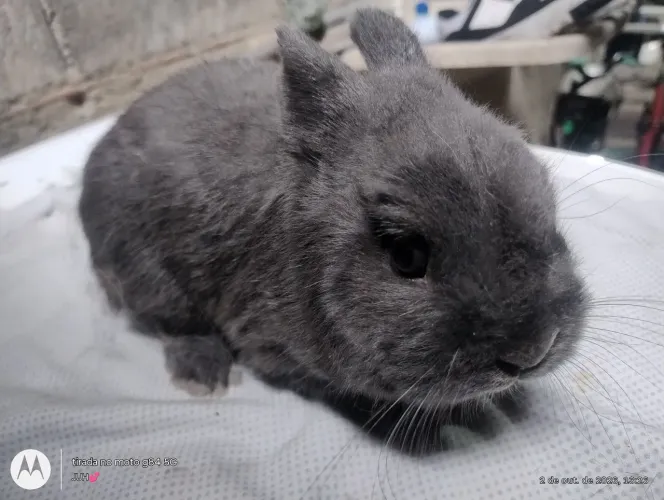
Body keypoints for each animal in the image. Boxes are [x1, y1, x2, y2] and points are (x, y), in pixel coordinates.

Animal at [78, 7, 589, 451]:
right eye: (406, 256)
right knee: (171, 325)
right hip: (152, 277)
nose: (532, 350)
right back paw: (203, 374)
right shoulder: (264, 342)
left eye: (546, 201)